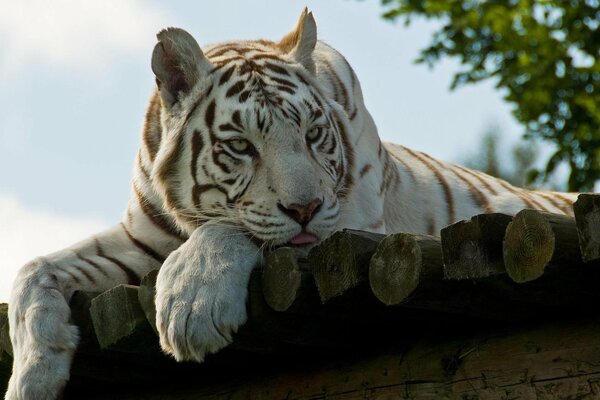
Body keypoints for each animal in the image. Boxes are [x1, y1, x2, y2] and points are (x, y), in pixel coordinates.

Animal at [3, 9, 576, 400]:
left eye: (314, 134)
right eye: (241, 146)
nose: (305, 207)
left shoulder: (347, 221)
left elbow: (235, 228)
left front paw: (191, 308)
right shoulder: (140, 238)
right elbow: (33, 271)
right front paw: (32, 378)